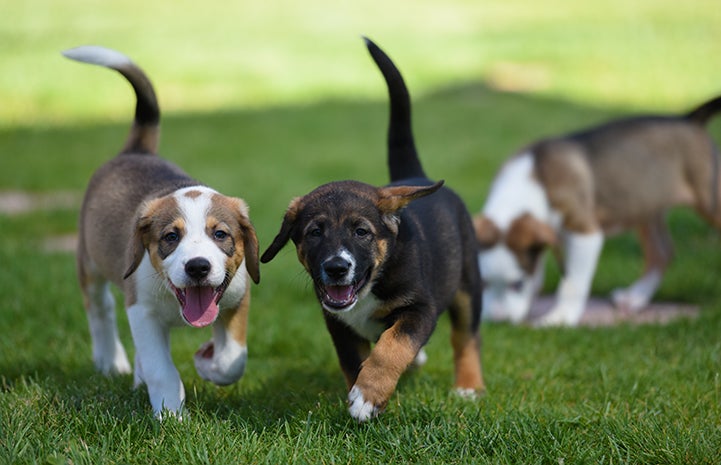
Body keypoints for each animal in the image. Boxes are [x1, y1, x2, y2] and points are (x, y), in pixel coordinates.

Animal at [62, 46, 258, 416]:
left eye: (220, 235)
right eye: (171, 237)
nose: (198, 267)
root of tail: (136, 151)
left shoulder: (237, 299)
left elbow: (232, 360)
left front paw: (207, 362)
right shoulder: (141, 311)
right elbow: (161, 368)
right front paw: (170, 415)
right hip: (89, 263)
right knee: (100, 310)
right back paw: (112, 363)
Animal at [258, 37, 484, 420]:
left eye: (361, 232)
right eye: (314, 233)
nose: (336, 267)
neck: (370, 285)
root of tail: (416, 176)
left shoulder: (420, 308)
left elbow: (394, 345)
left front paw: (367, 396)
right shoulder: (337, 323)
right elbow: (354, 360)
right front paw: (359, 393)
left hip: (468, 283)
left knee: (466, 336)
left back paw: (469, 386)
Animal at [472, 95, 720, 324]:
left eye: (518, 284)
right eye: (482, 283)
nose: (500, 321)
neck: (534, 180)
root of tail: (690, 120)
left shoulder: (584, 233)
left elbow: (573, 282)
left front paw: (561, 318)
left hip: (709, 203)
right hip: (645, 207)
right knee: (662, 252)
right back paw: (635, 297)